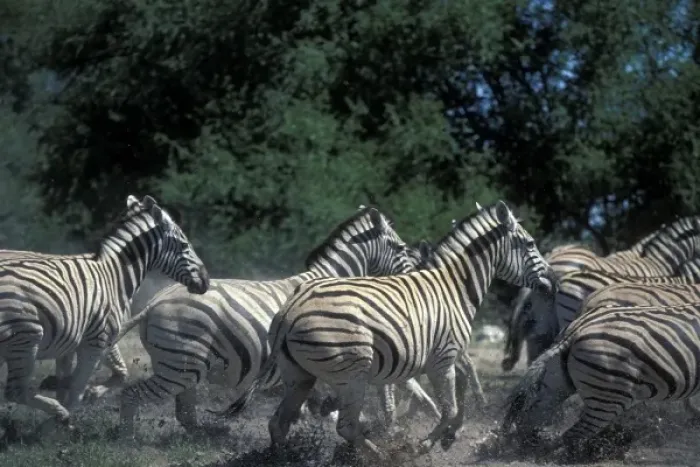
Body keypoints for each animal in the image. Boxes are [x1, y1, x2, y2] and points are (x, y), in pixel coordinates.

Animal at [0, 195, 210, 436]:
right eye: (184, 245)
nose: (206, 281)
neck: (115, 276)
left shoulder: (75, 340)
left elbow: (104, 377)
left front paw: (68, 412)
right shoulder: (97, 340)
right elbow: (77, 391)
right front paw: (56, 424)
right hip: (26, 338)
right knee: (15, 391)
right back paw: (57, 413)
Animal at [98, 205, 438, 437]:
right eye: (400, 248)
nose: (414, 278)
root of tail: (156, 301)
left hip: (184, 367)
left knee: (185, 414)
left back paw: (206, 436)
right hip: (180, 365)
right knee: (134, 396)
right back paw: (128, 440)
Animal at [254, 200, 556, 458]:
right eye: (530, 244)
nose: (553, 281)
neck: (455, 287)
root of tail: (292, 308)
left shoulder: (447, 356)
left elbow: (459, 391)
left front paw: (450, 436)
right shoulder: (442, 359)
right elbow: (449, 407)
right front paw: (424, 445)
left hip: (299, 375)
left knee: (278, 423)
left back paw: (282, 457)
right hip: (352, 375)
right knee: (346, 426)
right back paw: (381, 455)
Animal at [499, 299, 700, 459]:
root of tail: (576, 330)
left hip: (557, 384)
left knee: (530, 420)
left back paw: (531, 451)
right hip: (610, 396)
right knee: (573, 435)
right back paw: (588, 455)